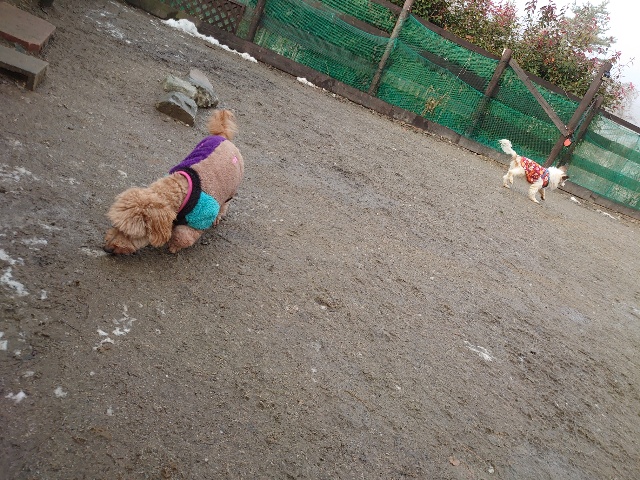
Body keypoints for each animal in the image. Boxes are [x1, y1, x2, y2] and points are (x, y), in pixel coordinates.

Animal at [104, 109, 244, 254]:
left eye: (129, 234)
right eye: (115, 225)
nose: (106, 249)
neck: (180, 189)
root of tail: (223, 137)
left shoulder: (200, 220)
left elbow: (183, 236)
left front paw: (173, 246)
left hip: (230, 190)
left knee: (225, 205)